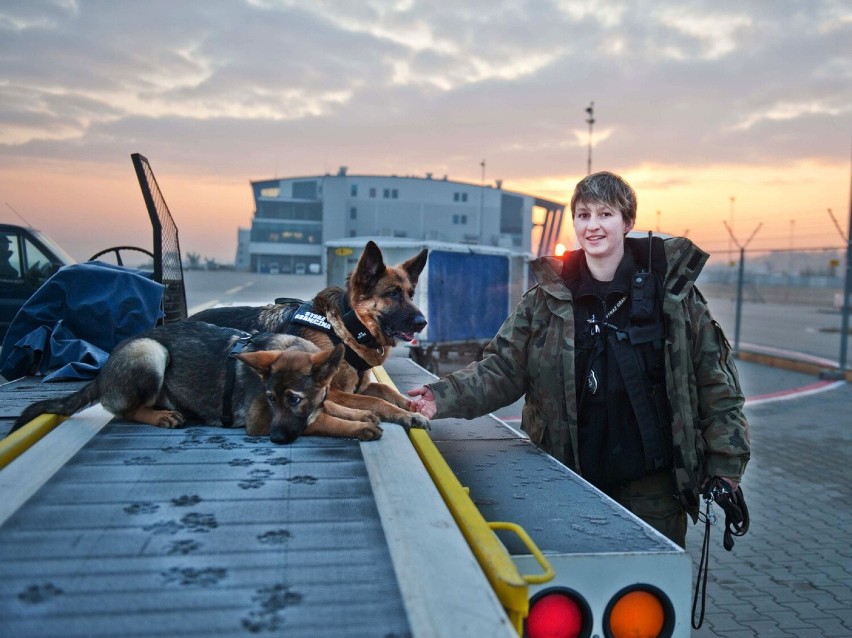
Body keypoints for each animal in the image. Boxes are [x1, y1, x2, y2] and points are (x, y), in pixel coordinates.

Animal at [12, 322, 386, 448]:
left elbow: (329, 406)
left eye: (293, 399)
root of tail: (102, 373)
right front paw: (357, 427)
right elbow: (320, 420)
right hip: (151, 352)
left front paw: (361, 416)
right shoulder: (260, 420)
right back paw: (161, 416)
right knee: (123, 410)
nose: (276, 440)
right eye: (269, 399)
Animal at [194, 241, 432, 436]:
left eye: (411, 295)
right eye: (392, 294)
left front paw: (411, 406)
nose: (423, 322)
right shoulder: (332, 392)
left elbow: (385, 390)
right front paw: (406, 415)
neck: (345, 329)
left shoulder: (360, 386)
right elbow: (374, 401)